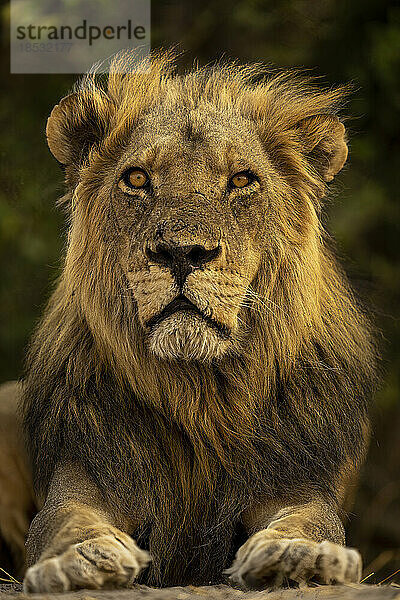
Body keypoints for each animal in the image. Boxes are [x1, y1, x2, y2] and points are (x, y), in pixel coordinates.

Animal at [0, 50, 376, 592]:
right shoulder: (87, 473)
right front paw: (84, 560)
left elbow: (311, 522)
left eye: (241, 180)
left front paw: (296, 556)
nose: (182, 253)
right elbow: (67, 522)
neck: (198, 394)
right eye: (137, 179)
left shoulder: (298, 482)